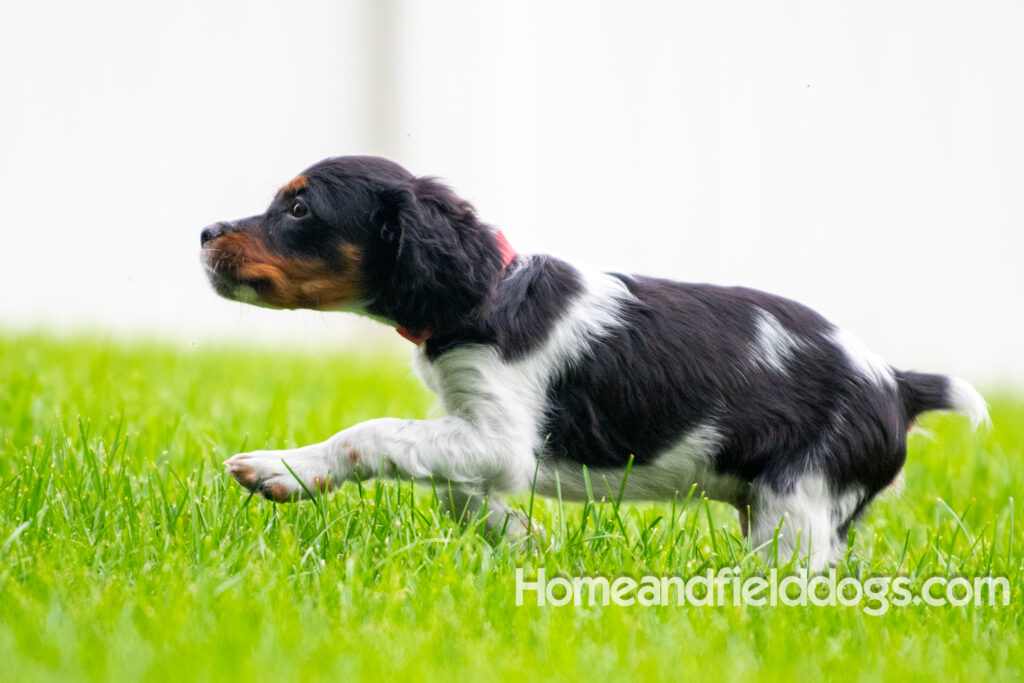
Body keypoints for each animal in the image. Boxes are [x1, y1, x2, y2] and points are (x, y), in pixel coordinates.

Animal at [201, 156, 983, 573]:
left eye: (300, 209)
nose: (205, 231)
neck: (486, 293)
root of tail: (897, 382)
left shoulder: (500, 435)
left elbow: (374, 434)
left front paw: (283, 469)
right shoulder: (472, 428)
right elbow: (453, 490)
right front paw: (518, 536)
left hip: (799, 504)